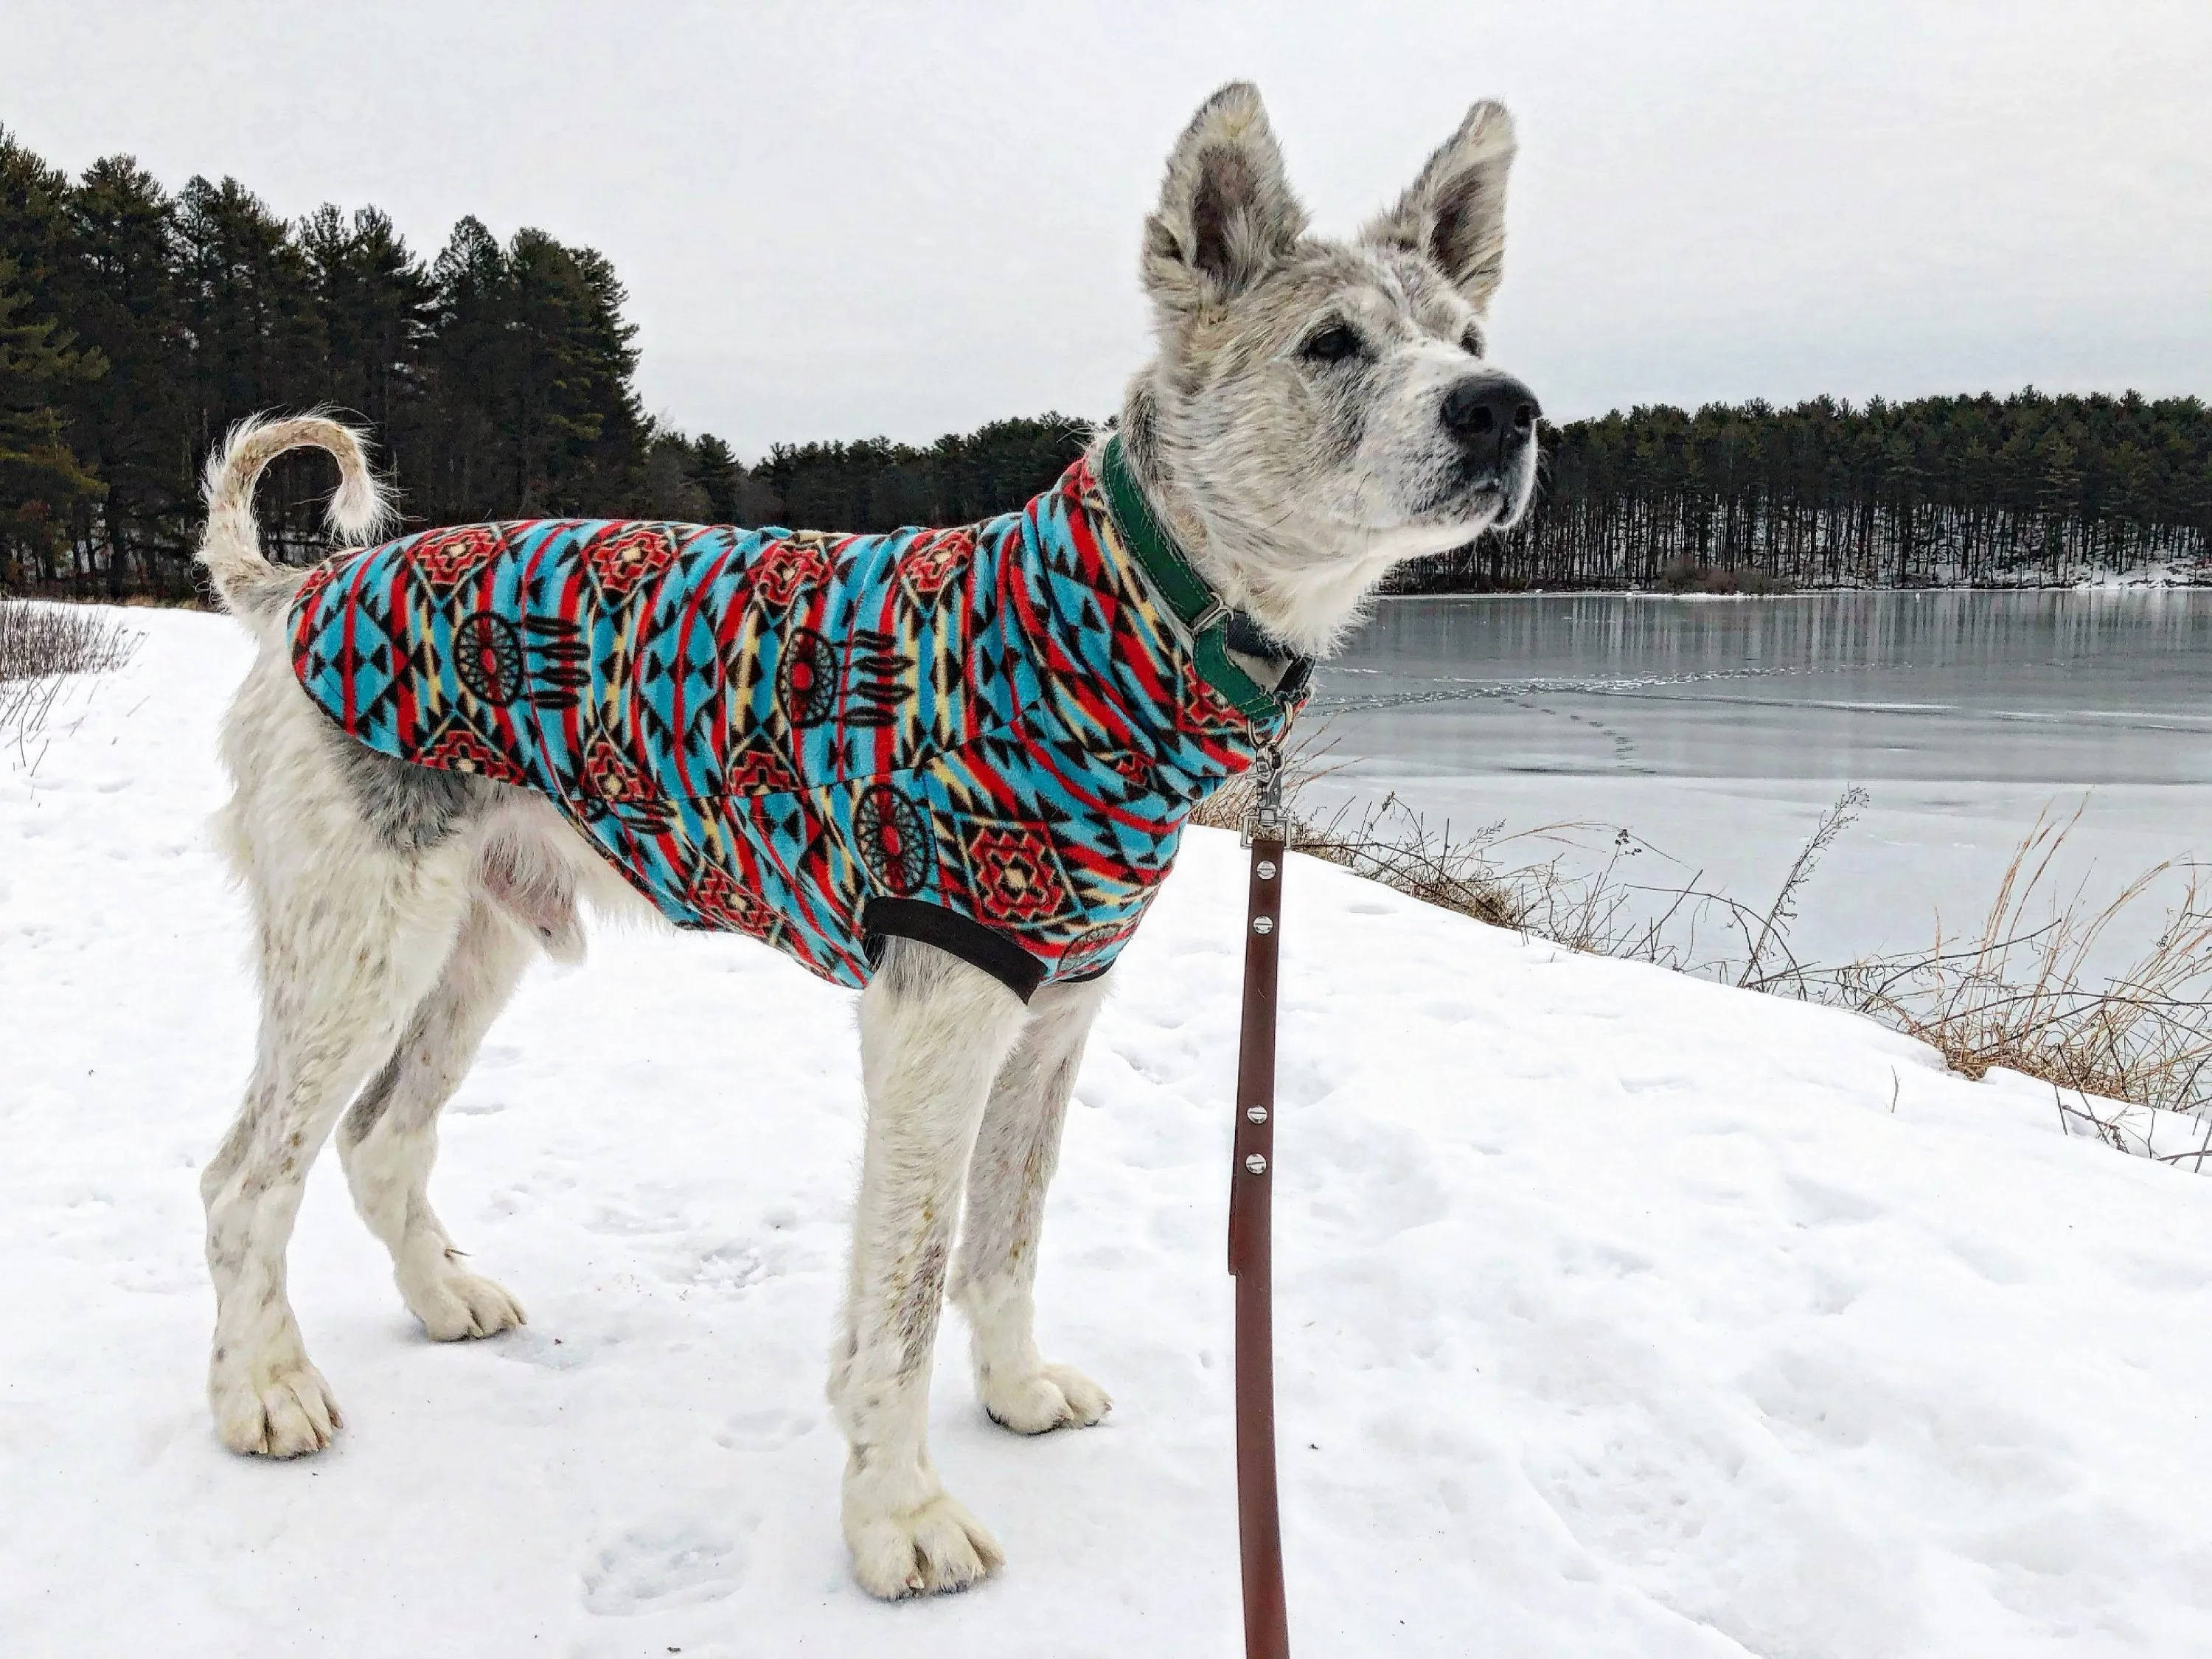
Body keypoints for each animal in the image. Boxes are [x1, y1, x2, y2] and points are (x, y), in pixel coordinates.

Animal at [195, 84, 1540, 1601]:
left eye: (1467, 340)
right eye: (1331, 344)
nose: (1506, 409)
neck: (1114, 623)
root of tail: (298, 588)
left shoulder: (1054, 1014)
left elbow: (1006, 1241)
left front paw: (1015, 1396)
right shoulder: (937, 1015)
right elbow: (908, 1286)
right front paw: (901, 1516)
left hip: (479, 938)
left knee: (381, 1140)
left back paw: (443, 1299)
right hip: (357, 945)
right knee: (246, 1179)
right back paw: (263, 1391)